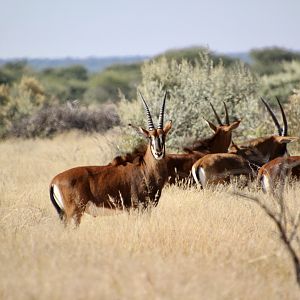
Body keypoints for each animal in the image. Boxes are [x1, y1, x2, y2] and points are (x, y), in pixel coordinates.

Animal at [49, 91, 171, 225]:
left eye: (163, 136)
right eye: (149, 137)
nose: (158, 152)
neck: (144, 168)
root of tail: (54, 181)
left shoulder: (146, 208)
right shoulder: (137, 208)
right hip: (75, 213)